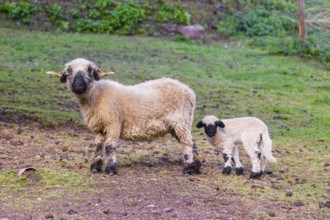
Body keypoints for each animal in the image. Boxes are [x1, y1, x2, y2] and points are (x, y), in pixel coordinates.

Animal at [46, 58, 201, 175]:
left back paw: (188, 168)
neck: (96, 96)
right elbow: (98, 146)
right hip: (178, 125)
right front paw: (95, 167)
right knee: (192, 141)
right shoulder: (99, 127)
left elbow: (109, 146)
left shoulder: (113, 123)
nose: (78, 85)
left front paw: (110, 169)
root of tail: (189, 90)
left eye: (90, 70)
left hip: (180, 120)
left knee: (187, 142)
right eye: (69, 71)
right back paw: (196, 165)